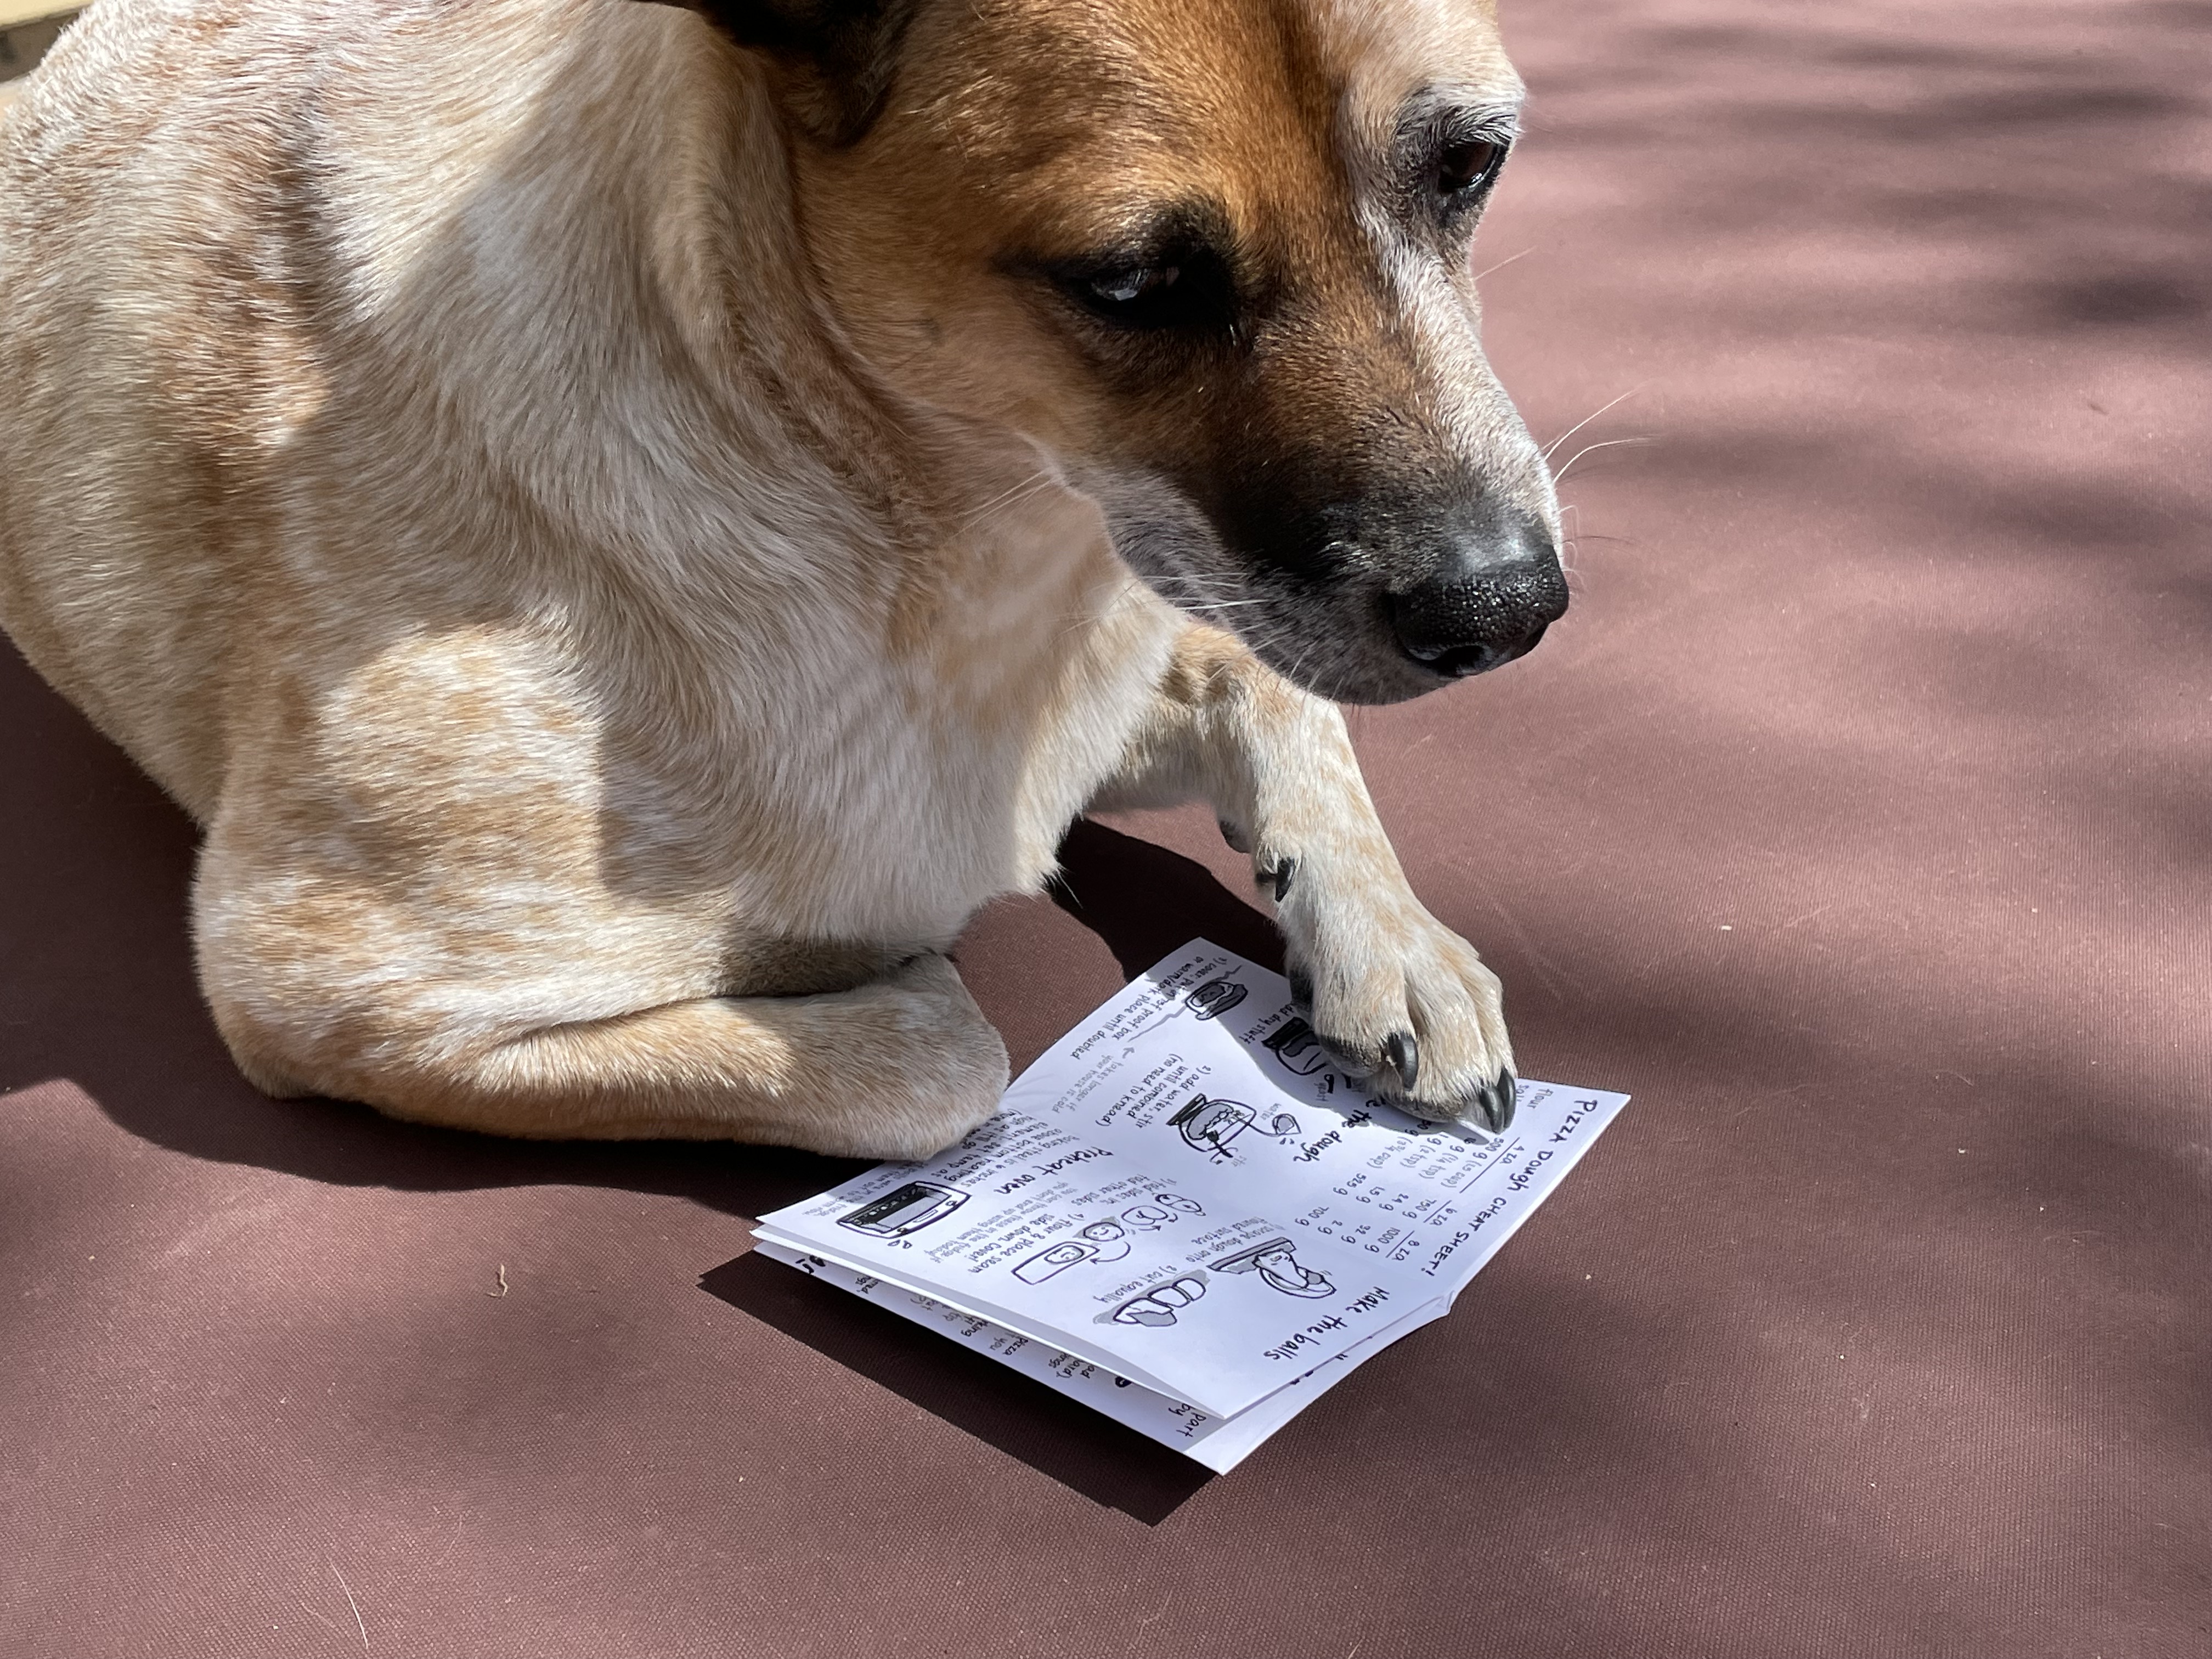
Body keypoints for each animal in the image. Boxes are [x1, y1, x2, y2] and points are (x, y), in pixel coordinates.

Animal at [0, 0, 1575, 1159]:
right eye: (1131, 285)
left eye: (1473, 166)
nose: (1510, 614)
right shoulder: (320, 983)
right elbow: (947, 1059)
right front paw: (880, 976)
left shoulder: (1129, 656)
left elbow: (1271, 696)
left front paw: (1402, 947)